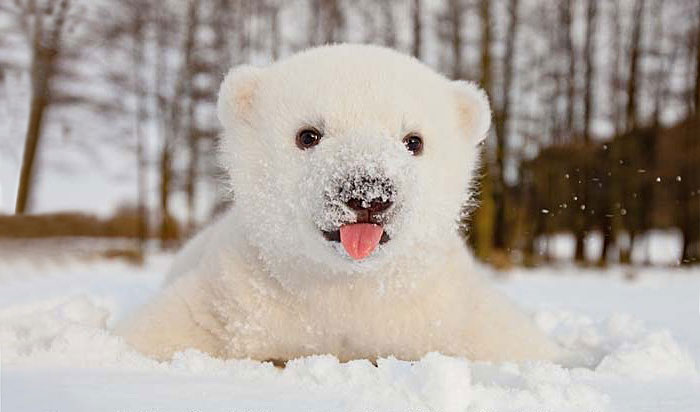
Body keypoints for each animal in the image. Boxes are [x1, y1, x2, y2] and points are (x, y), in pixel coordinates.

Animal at [116, 44, 560, 364]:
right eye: (308, 135)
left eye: (413, 140)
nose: (368, 193)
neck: (347, 287)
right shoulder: (235, 296)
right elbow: (161, 330)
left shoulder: (443, 309)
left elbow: (508, 341)